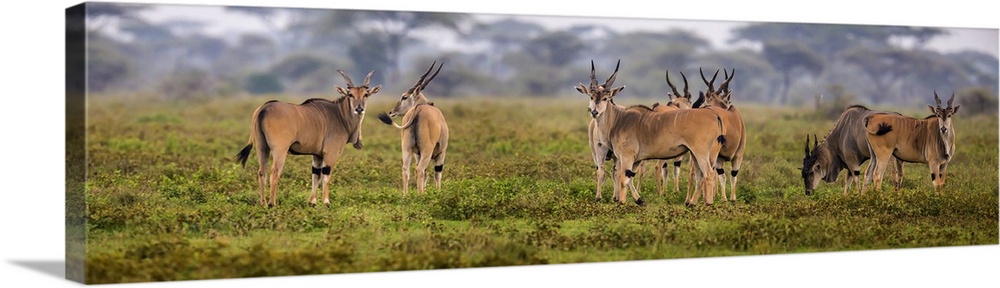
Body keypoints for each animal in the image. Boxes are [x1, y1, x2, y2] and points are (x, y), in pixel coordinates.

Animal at [234, 71, 382, 208]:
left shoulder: (317, 155)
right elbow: (326, 176)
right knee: (274, 172)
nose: (359, 109)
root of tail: (264, 108)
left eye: (365, 94)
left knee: (261, 172)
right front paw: (326, 202)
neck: (339, 115)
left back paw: (263, 203)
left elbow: (315, 176)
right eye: (350, 94)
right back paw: (272, 204)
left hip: (262, 147)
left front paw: (312, 202)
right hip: (279, 150)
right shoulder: (331, 154)